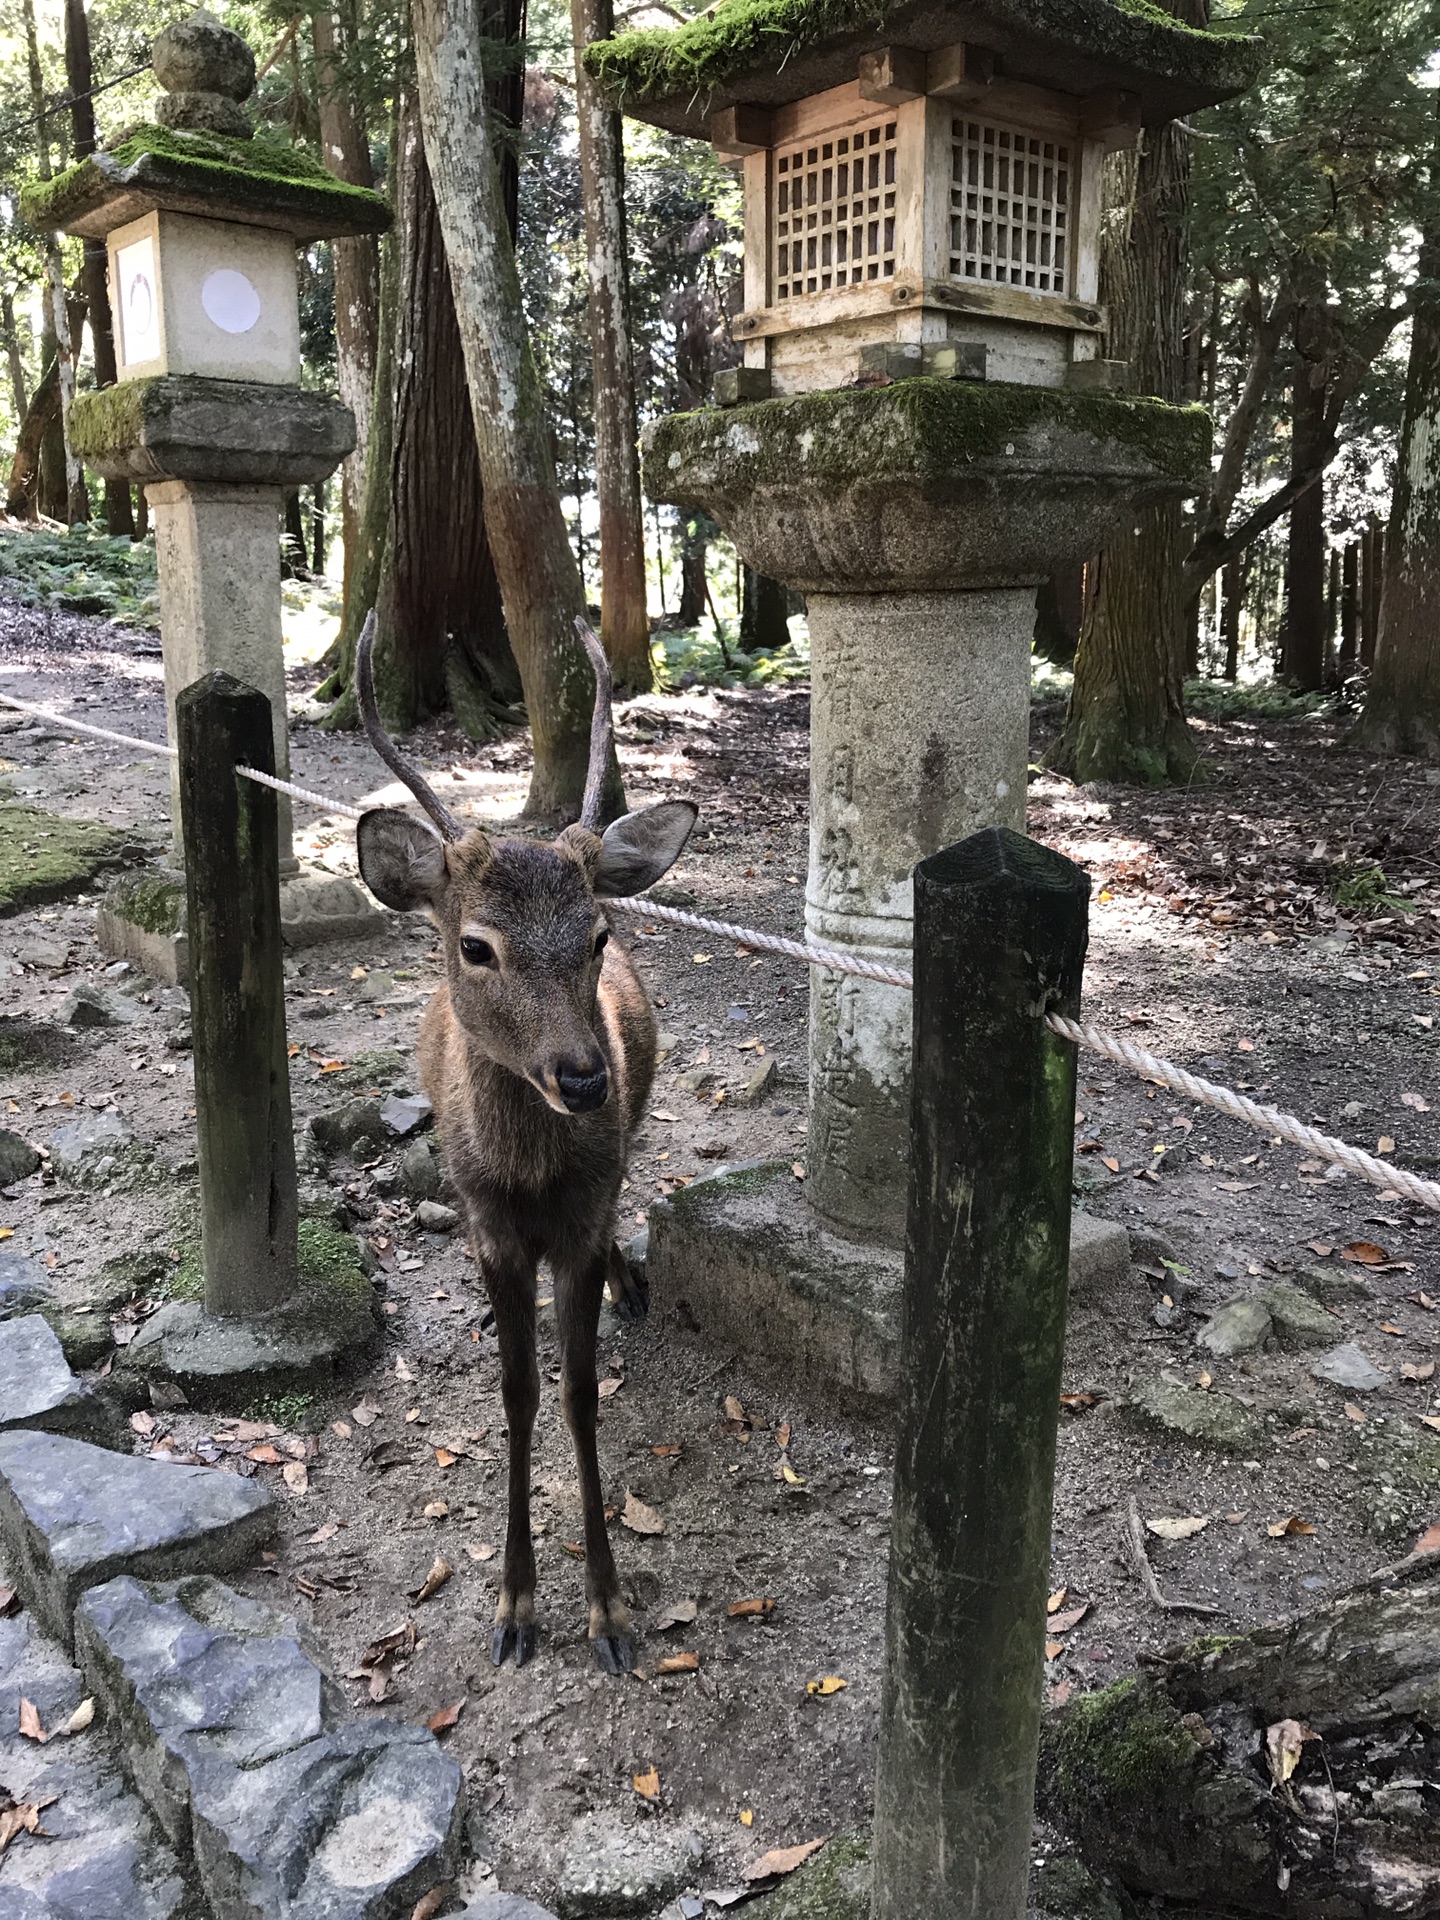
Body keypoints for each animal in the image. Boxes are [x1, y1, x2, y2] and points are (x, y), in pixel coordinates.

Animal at [359, 606, 702, 1674]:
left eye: (596, 935)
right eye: (476, 945)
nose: (585, 1077)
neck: (532, 1183)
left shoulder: (580, 1221)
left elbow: (581, 1394)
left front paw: (609, 1611)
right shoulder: (489, 1230)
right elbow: (517, 1396)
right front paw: (515, 1607)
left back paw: (635, 1281)